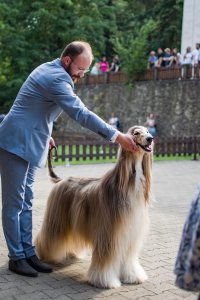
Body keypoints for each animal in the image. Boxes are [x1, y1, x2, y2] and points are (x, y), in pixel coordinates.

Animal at [34, 126, 153, 288]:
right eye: (136, 133)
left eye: (147, 131)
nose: (150, 138)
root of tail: (61, 180)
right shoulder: (108, 233)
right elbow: (106, 259)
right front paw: (106, 280)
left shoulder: (130, 231)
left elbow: (129, 257)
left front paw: (132, 275)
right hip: (56, 220)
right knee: (47, 237)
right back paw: (43, 254)